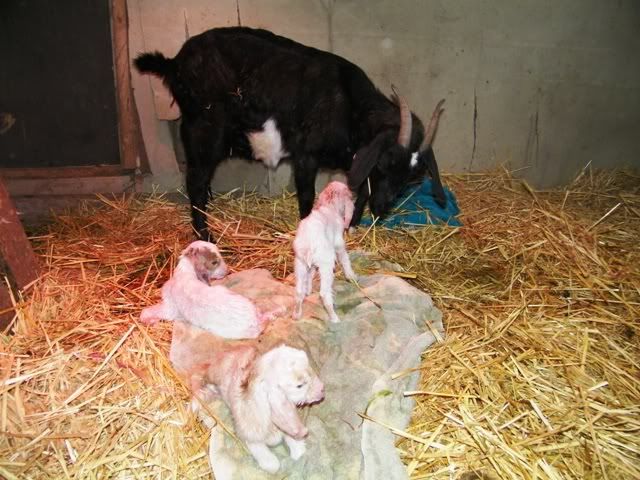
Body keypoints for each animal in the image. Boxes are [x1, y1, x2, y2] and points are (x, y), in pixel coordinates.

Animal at [134, 26, 447, 241]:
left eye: (413, 177)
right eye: (387, 161)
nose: (382, 209)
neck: (350, 106)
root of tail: (174, 63)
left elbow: (361, 193)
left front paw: (353, 226)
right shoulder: (306, 154)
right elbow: (307, 197)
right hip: (203, 129)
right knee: (196, 181)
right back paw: (206, 235)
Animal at [293, 181, 356, 323]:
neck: (329, 206)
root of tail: (309, 244)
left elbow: (311, 274)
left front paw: (308, 290)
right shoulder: (339, 242)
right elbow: (344, 258)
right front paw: (351, 275)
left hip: (300, 263)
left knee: (298, 291)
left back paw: (297, 314)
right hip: (326, 264)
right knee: (324, 294)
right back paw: (334, 318)